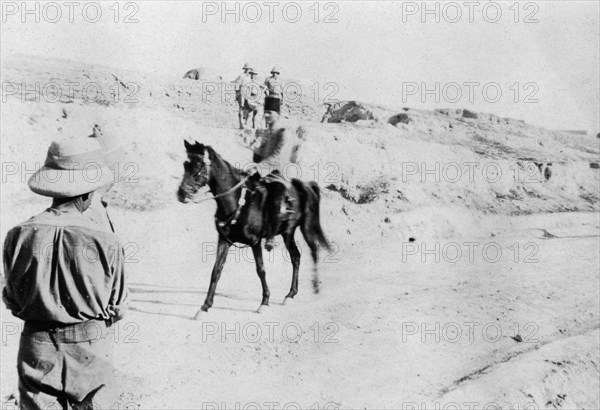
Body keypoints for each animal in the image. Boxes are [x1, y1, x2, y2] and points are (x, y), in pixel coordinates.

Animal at [176, 141, 330, 318]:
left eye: (197, 166)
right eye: (185, 164)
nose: (181, 194)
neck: (237, 202)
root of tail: (302, 185)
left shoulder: (255, 242)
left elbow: (260, 270)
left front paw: (264, 302)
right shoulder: (224, 240)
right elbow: (216, 271)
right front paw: (205, 307)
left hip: (305, 227)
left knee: (314, 251)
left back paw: (316, 288)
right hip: (287, 233)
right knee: (296, 257)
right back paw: (290, 294)